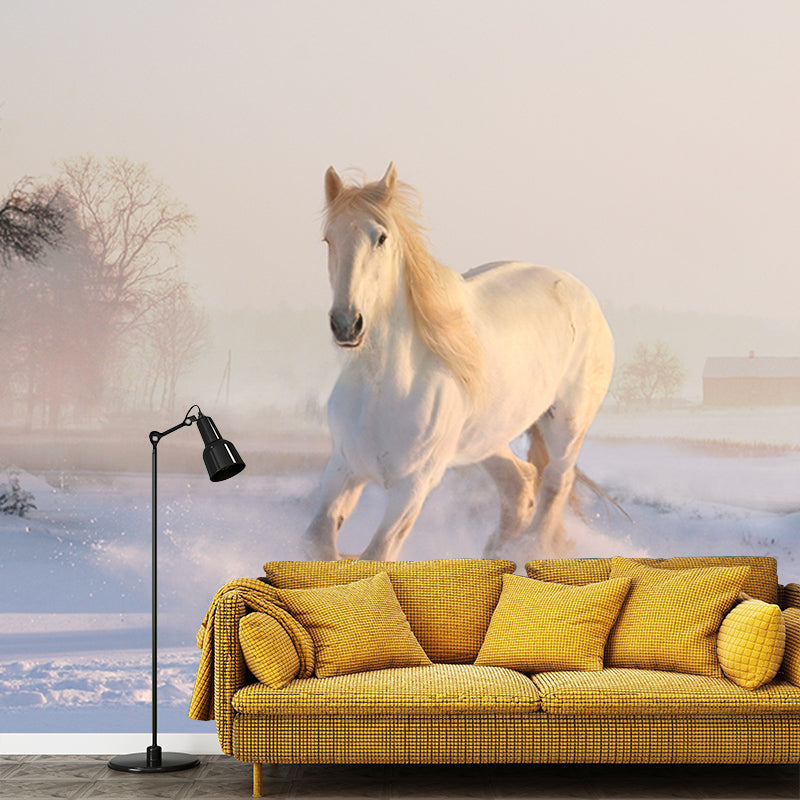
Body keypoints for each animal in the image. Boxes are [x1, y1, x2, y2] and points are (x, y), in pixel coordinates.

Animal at [301, 163, 614, 562]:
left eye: (381, 238)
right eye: (329, 239)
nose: (346, 323)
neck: (383, 386)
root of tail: (580, 291)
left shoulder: (412, 486)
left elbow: (377, 555)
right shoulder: (344, 467)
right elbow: (317, 543)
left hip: (566, 426)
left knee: (556, 483)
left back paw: (527, 549)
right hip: (488, 437)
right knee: (520, 483)